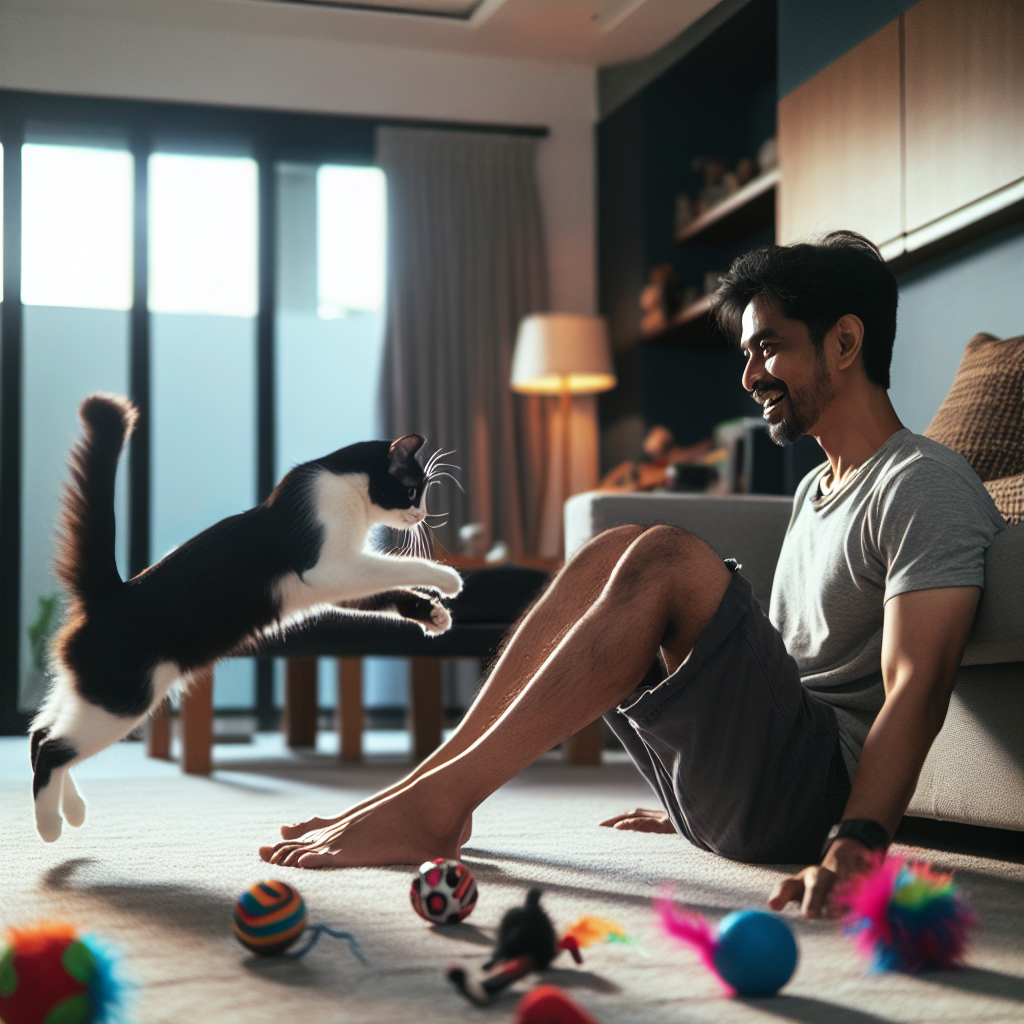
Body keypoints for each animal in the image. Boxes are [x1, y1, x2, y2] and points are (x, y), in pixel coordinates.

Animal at [30, 391, 464, 839]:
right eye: (412, 491)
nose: (422, 516)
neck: (346, 488)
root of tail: (112, 595)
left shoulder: (335, 584)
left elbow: (382, 592)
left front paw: (432, 614)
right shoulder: (328, 567)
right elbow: (394, 567)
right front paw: (446, 578)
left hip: (90, 690)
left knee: (39, 731)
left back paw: (73, 809)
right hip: (122, 700)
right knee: (52, 748)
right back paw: (49, 825)